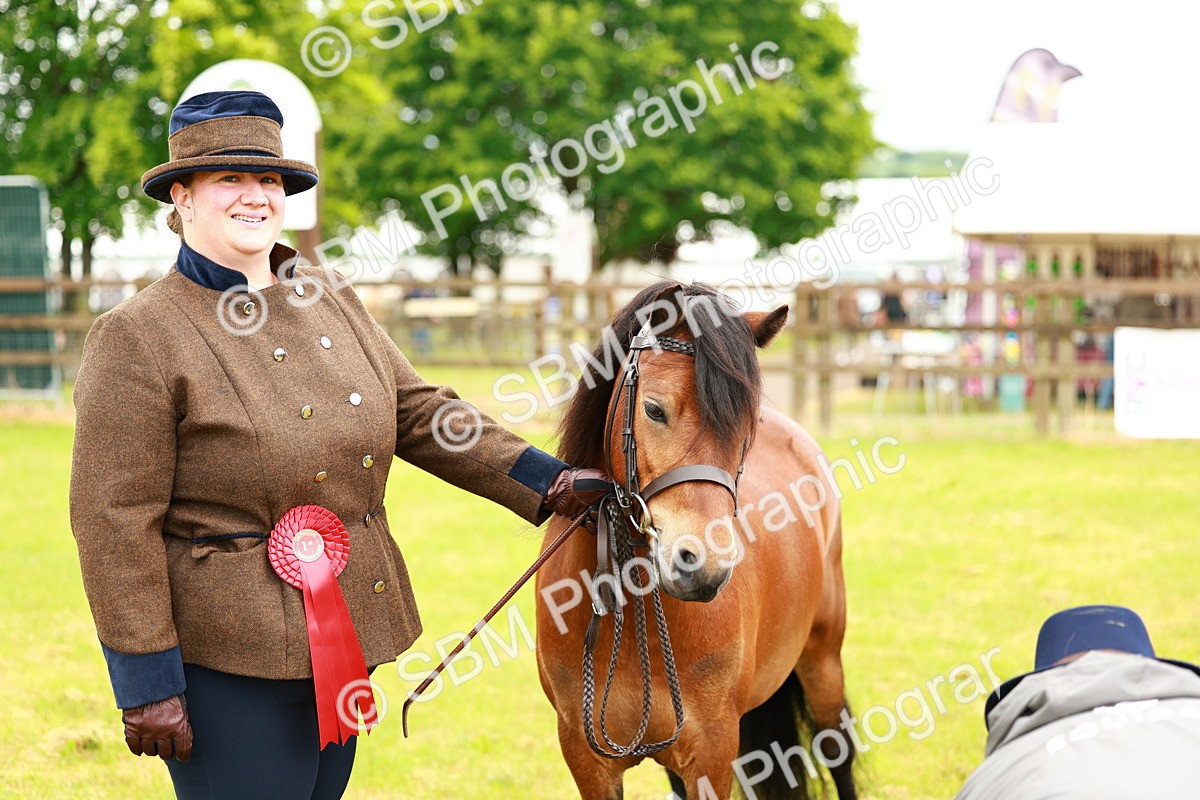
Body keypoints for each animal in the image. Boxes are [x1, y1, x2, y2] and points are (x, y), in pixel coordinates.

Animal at [535, 282, 856, 800]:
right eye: (653, 409)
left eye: (747, 425)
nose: (702, 566)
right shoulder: (587, 756)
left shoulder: (712, 750)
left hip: (823, 657)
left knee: (836, 750)